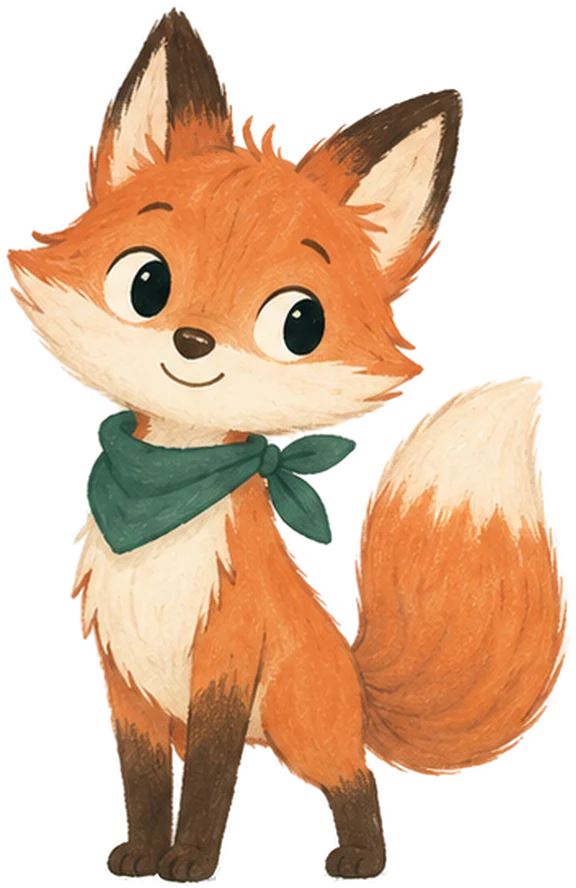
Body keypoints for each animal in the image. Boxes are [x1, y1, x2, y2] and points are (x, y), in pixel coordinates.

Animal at [7, 10, 468, 881]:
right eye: (146, 282)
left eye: (299, 322)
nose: (191, 343)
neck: (162, 503)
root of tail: (355, 679)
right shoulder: (123, 675)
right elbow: (144, 780)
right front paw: (139, 851)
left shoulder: (225, 656)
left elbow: (207, 777)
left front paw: (188, 856)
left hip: (292, 719)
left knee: (353, 775)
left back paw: (360, 853)